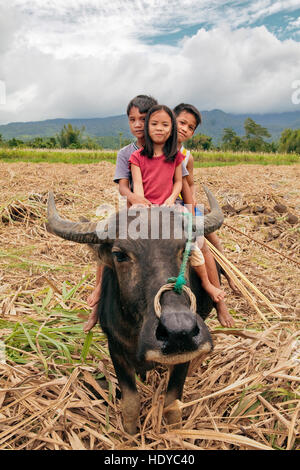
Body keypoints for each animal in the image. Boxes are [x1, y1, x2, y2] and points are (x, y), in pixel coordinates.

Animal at [47, 187, 224, 434]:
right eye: (120, 254)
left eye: (186, 249)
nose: (179, 332)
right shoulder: (116, 348)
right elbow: (131, 401)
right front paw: (130, 434)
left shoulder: (186, 353)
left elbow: (172, 404)